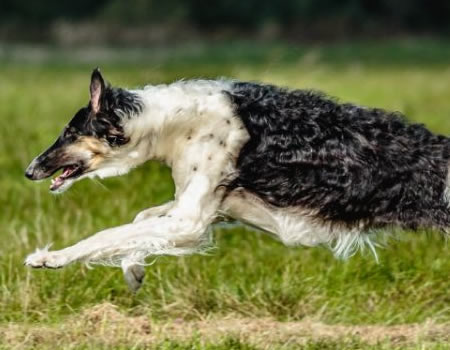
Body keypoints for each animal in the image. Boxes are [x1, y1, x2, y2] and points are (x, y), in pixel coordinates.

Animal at [24, 67, 450, 290]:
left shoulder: (191, 219)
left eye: (69, 132)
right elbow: (139, 221)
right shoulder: (210, 210)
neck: (172, 121)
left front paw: (49, 257)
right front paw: (133, 268)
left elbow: (106, 235)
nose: (30, 170)